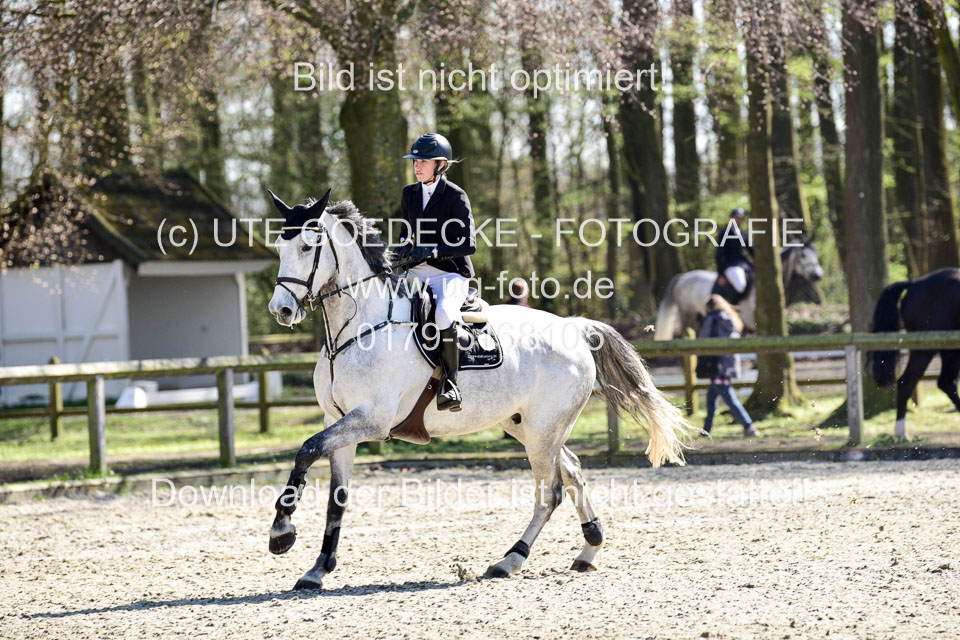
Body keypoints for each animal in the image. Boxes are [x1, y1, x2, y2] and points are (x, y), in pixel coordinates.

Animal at [264, 191, 692, 590]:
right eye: (280, 248)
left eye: (307, 247)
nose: (281, 311)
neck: (356, 329)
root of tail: (573, 327)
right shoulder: (340, 421)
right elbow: (336, 498)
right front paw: (318, 569)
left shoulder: (371, 421)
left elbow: (306, 450)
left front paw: (282, 533)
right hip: (527, 425)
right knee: (572, 471)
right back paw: (588, 549)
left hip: (542, 429)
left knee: (550, 491)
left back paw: (510, 560)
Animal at [653, 240, 825, 340]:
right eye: (803, 255)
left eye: (816, 253)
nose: (818, 275)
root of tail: (682, 277)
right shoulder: (755, 327)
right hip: (689, 316)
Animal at [869, 267, 960, 438]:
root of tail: (914, 284)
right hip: (925, 350)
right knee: (906, 382)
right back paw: (901, 433)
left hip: (950, 350)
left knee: (946, 383)